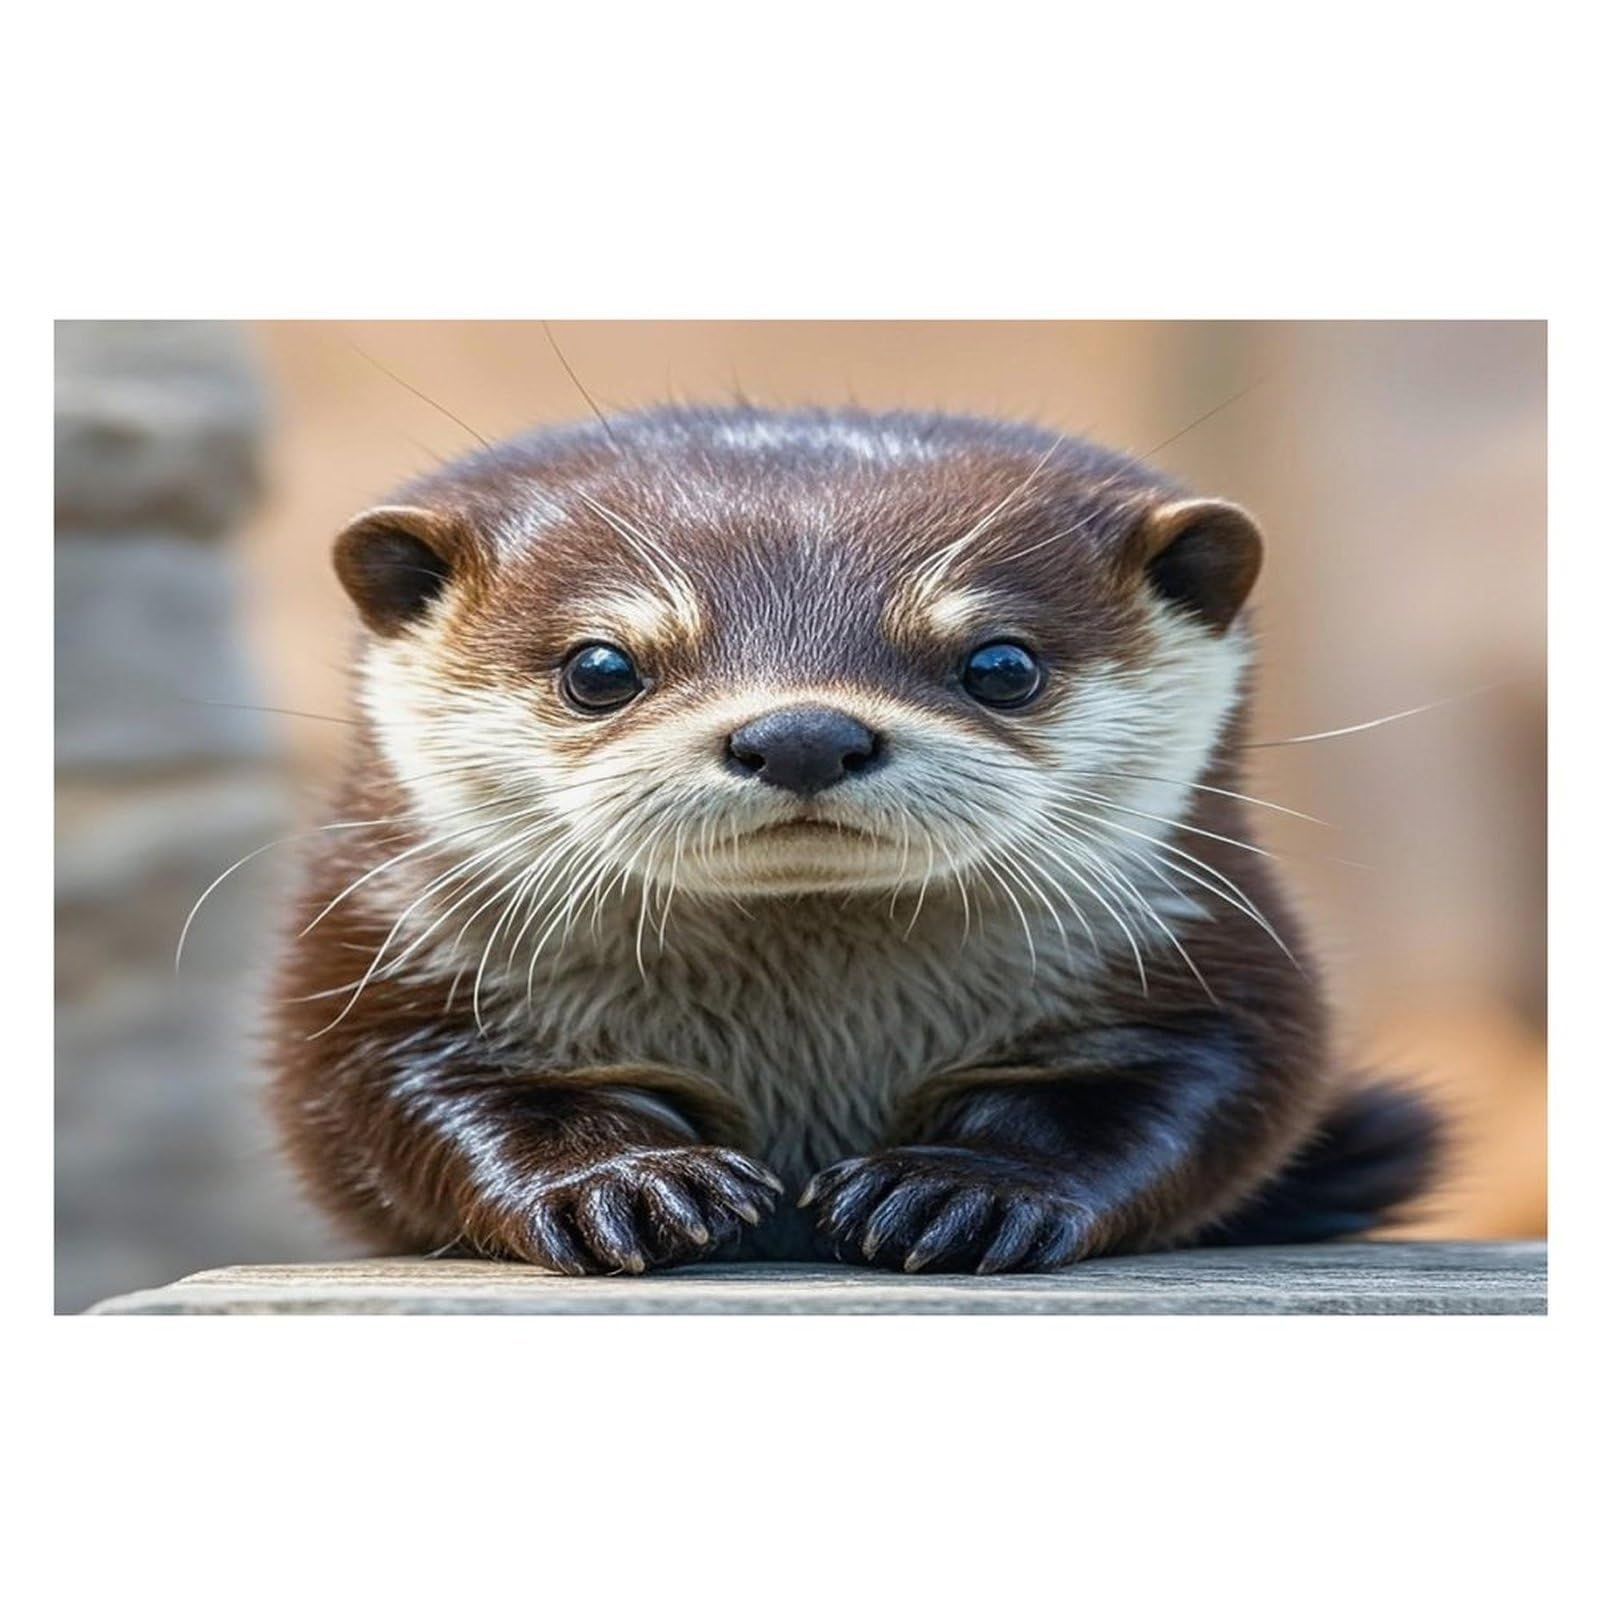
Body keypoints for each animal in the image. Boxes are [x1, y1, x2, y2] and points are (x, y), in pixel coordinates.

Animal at [269, 405, 1439, 1275]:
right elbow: (398, 1095)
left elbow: (1186, 1088)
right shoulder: (394, 960)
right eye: (599, 666)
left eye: (1001, 663)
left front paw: (965, 1190)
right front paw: (616, 1183)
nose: (802, 732)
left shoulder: (1203, 958)